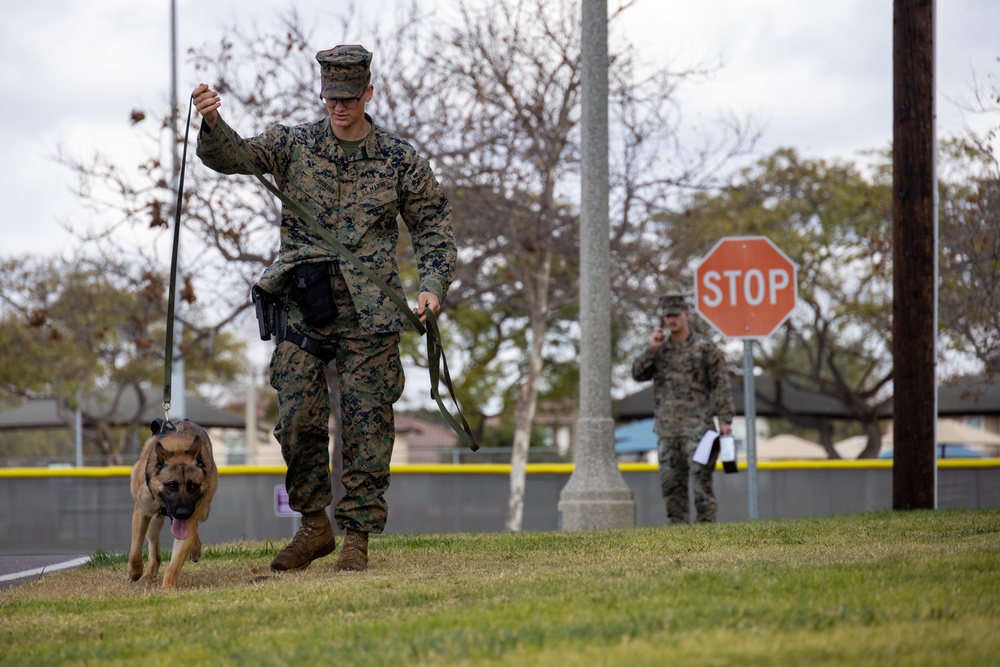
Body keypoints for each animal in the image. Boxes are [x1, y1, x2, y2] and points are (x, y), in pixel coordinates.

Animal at [128, 420, 218, 592]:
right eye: (171, 485)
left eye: (193, 486)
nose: (183, 513)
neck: (178, 448)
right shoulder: (141, 512)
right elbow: (135, 550)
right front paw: (134, 573)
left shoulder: (190, 518)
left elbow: (175, 563)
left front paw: (168, 588)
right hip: (154, 522)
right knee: (153, 547)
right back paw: (149, 573)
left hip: (203, 512)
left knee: (194, 528)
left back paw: (195, 549)